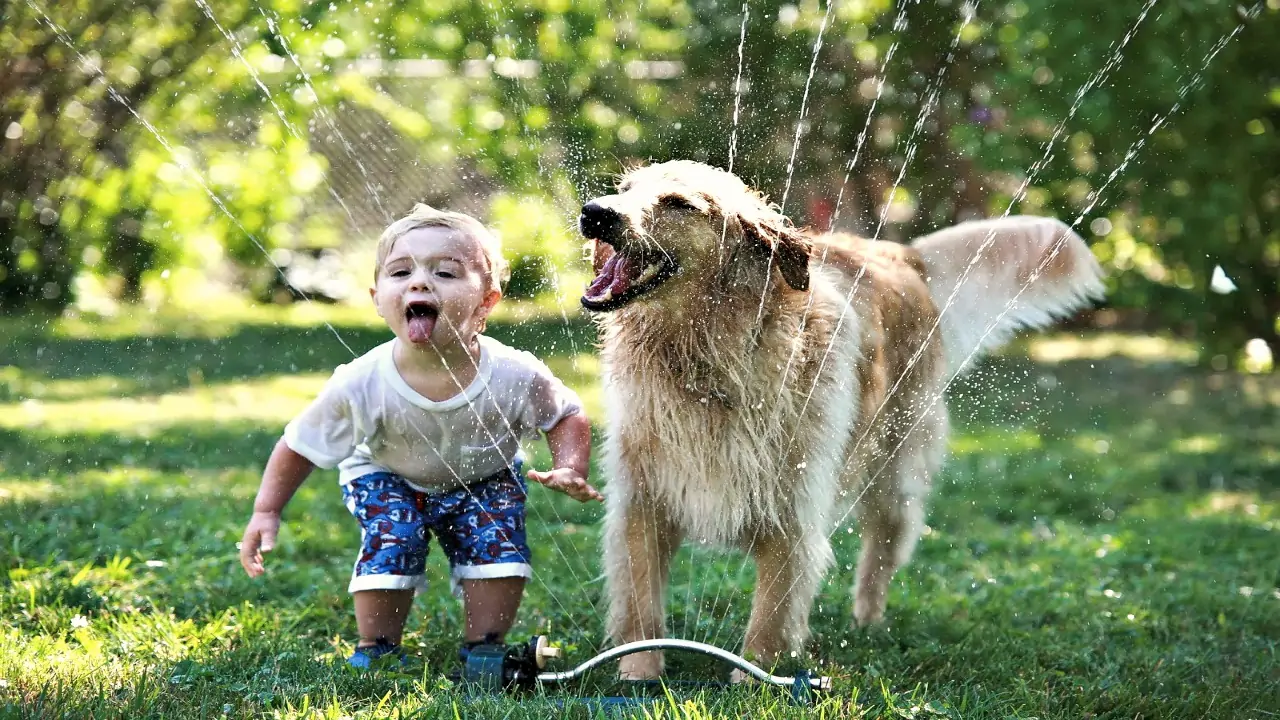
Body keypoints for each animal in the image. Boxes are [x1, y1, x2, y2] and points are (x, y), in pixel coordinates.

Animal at [578, 159, 1100, 676]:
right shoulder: (642, 498)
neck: (705, 360)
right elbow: (641, 602)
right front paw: (638, 672)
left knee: (885, 547)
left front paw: (755, 678)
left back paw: (867, 621)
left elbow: (770, 616)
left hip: (896, 466)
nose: (595, 211)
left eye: (679, 203)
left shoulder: (793, 506)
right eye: (625, 188)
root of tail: (900, 253)